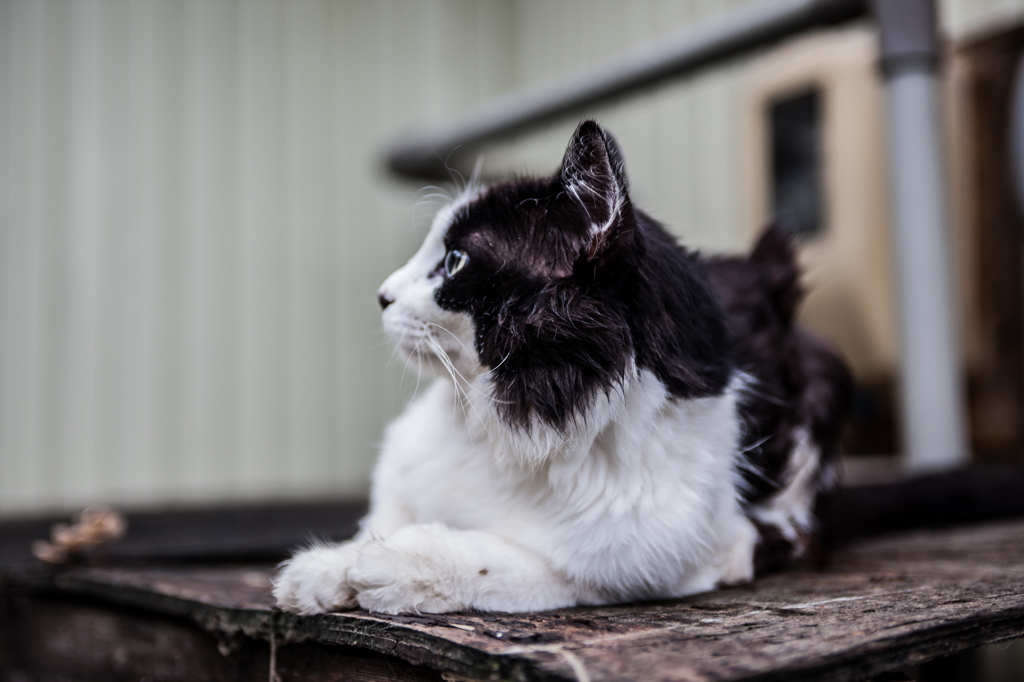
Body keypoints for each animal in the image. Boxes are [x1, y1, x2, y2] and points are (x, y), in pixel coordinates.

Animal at [270, 119, 847, 614]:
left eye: (454, 262)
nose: (382, 295)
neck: (494, 427)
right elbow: (381, 520)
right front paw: (329, 567)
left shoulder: (633, 563)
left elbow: (516, 560)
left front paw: (399, 563)